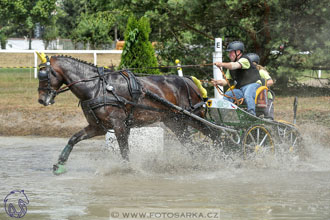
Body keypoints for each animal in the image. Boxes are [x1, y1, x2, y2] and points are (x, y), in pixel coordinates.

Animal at [36, 54, 211, 174]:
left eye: (44, 76)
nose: (41, 100)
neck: (97, 87)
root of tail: (189, 81)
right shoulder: (97, 127)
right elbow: (74, 139)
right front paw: (60, 165)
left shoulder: (119, 125)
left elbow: (124, 150)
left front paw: (127, 169)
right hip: (175, 122)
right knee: (191, 144)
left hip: (193, 118)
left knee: (212, 134)